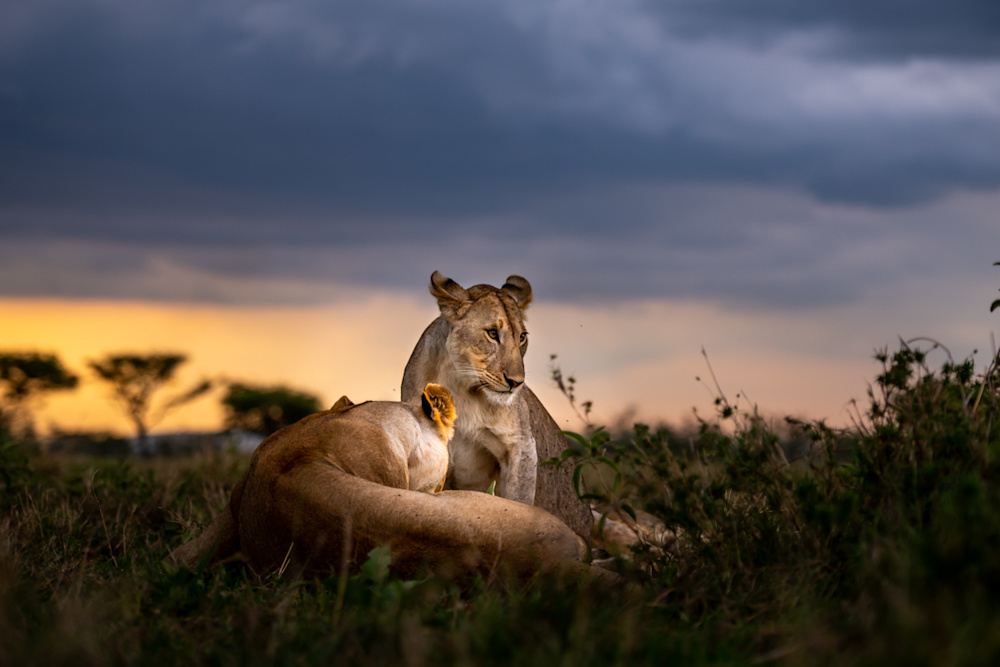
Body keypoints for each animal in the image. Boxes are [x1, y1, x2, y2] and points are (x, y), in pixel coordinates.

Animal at [401, 271, 594, 543]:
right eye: (492, 333)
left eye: (522, 337)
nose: (516, 382)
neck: (461, 386)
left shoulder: (521, 445)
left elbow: (517, 501)